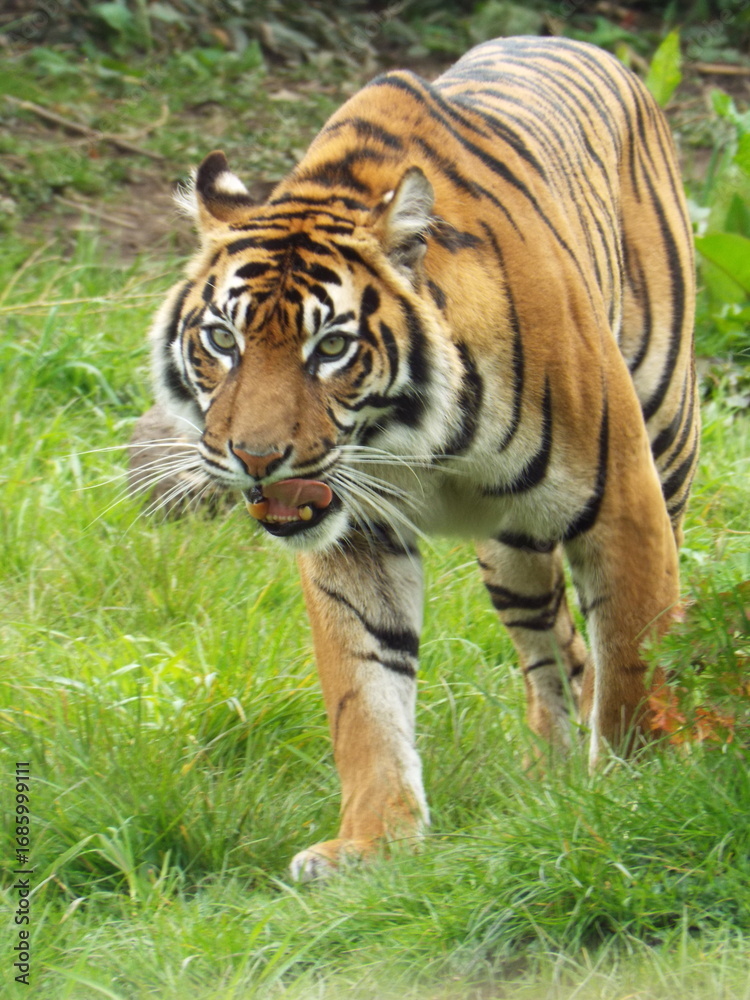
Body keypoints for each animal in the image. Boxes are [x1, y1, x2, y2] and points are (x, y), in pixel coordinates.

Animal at [145, 35, 698, 881]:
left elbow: (635, 650)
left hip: (667, 438)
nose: (256, 458)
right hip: (511, 551)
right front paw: (372, 842)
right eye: (221, 339)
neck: (411, 438)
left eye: (330, 348)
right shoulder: (357, 538)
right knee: (555, 650)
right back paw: (551, 779)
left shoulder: (622, 502)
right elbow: (364, 691)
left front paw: (635, 791)